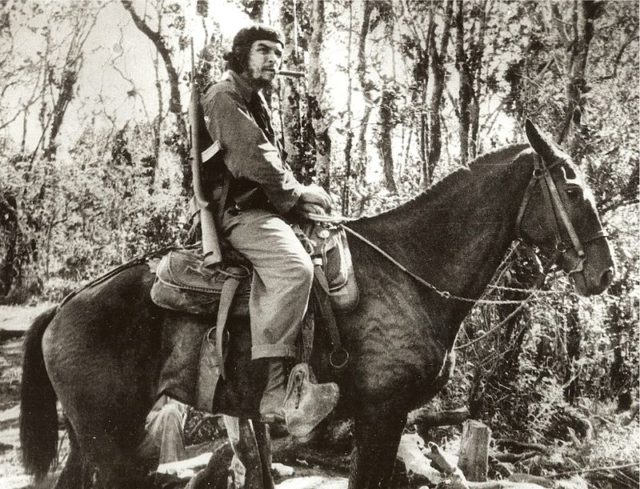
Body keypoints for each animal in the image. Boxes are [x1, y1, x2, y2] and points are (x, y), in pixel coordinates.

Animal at [20, 122, 612, 488]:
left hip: (92, 437)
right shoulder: (381, 414)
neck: (410, 270)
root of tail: (64, 306)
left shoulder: (384, 419)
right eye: (573, 188)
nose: (605, 273)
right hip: (110, 438)